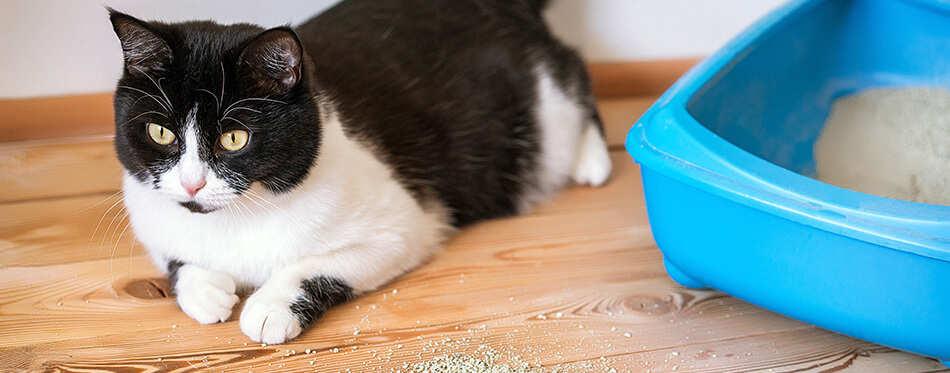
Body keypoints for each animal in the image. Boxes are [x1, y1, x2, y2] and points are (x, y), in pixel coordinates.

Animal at [108, 0, 612, 344]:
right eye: (160, 132)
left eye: (234, 138)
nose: (191, 183)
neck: (237, 220)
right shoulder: (152, 218)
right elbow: (175, 258)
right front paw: (204, 290)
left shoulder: (401, 226)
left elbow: (316, 266)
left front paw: (270, 306)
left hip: (543, 105)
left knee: (573, 70)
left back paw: (594, 159)